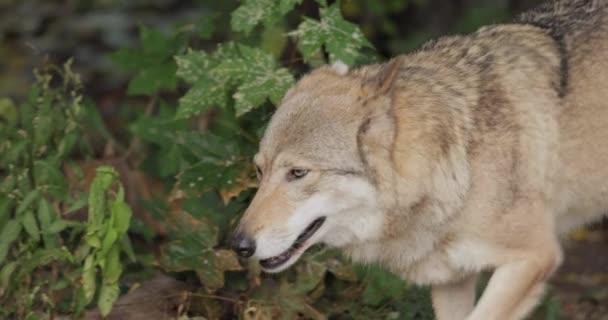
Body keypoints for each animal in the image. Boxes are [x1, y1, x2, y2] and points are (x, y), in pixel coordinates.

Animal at [232, 1, 608, 318]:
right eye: (259, 170)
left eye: (298, 173)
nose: (239, 245)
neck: (461, 163)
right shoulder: (451, 280)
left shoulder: (534, 257)